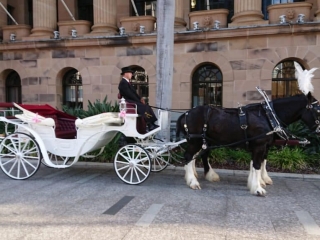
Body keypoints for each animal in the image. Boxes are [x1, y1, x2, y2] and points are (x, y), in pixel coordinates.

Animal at [176, 64, 318, 196]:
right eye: (318, 111)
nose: (318, 130)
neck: (268, 115)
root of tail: (186, 113)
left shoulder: (262, 145)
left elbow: (259, 163)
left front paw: (260, 181)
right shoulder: (260, 145)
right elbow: (257, 165)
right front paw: (258, 188)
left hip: (203, 141)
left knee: (198, 155)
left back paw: (204, 175)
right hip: (196, 140)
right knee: (189, 156)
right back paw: (193, 181)